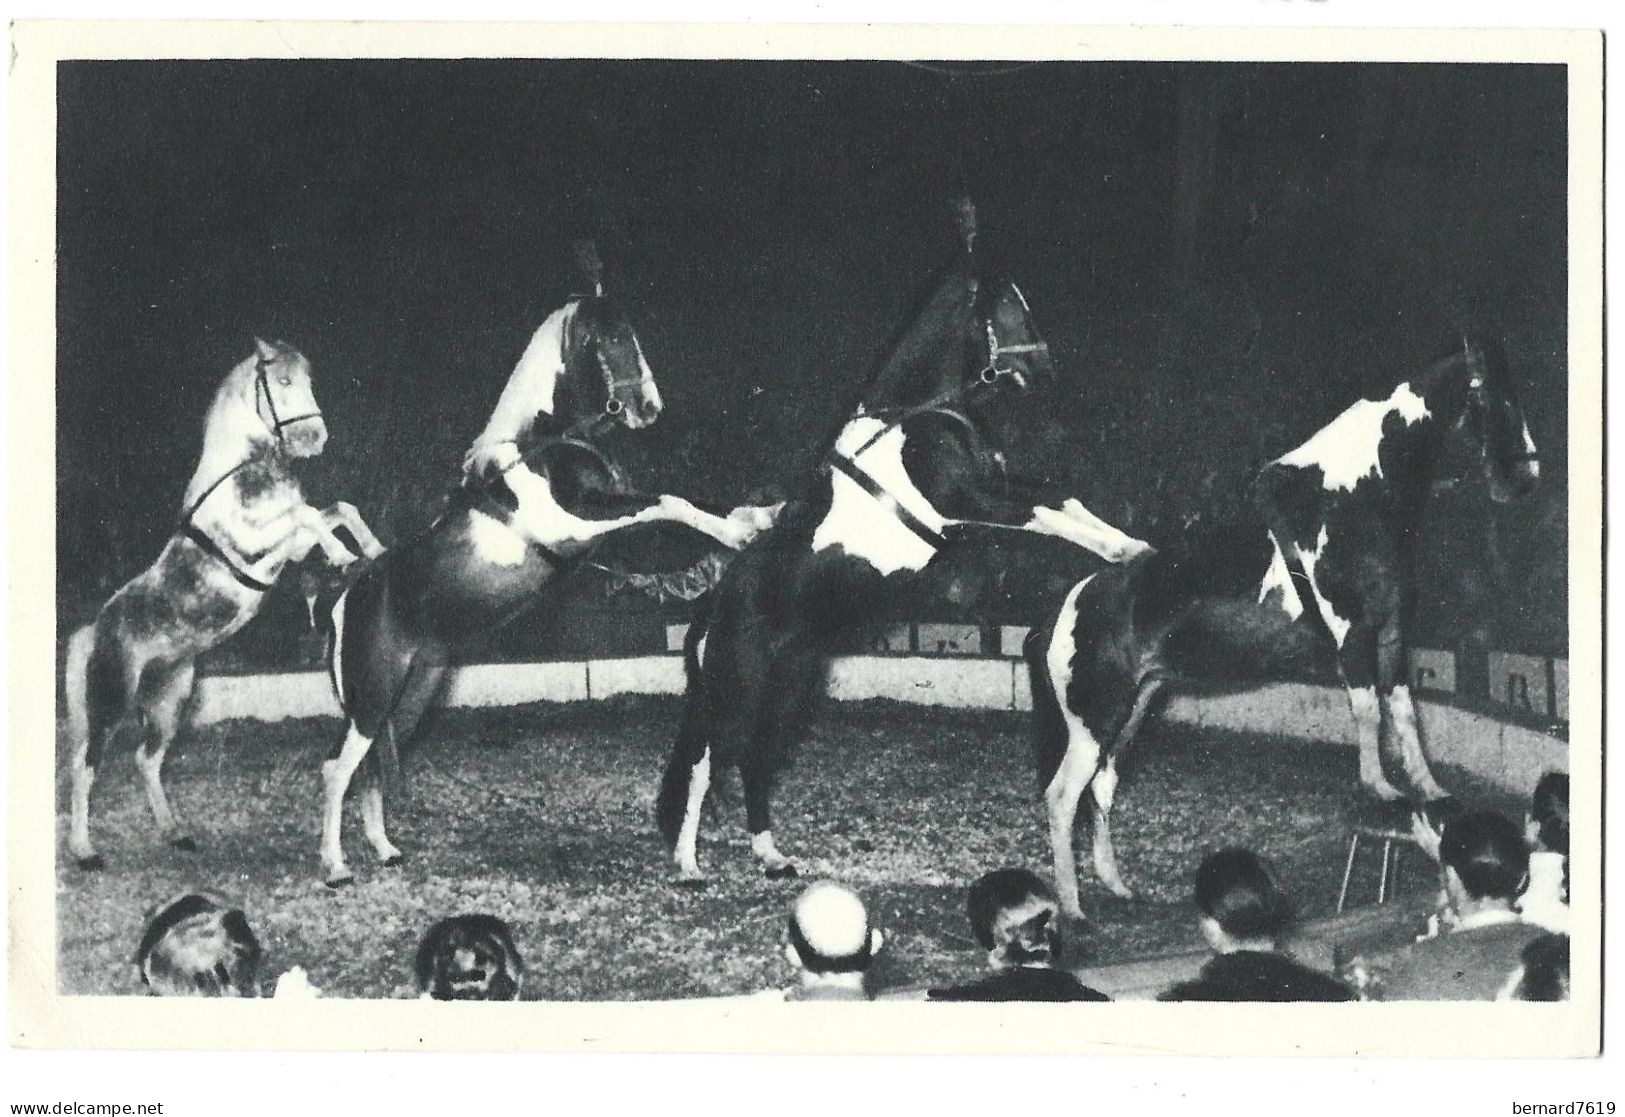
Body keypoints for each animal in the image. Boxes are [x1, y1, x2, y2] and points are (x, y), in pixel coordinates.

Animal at [65, 341, 385, 871]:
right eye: (283, 383)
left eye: (309, 380)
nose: (315, 438)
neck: (242, 473)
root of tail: (96, 629)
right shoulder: (256, 544)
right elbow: (307, 516)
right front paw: (343, 555)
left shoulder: (290, 547)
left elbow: (335, 511)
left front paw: (370, 548)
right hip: (109, 703)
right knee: (84, 765)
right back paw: (84, 850)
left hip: (171, 701)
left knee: (146, 760)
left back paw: (175, 832)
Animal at [323, 266, 773, 884]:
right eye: (613, 338)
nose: (650, 407)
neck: (541, 447)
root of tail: (351, 589)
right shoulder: (576, 526)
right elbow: (669, 503)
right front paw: (739, 533)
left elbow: (679, 515)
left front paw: (755, 519)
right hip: (372, 697)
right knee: (336, 771)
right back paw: (334, 866)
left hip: (408, 698)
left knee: (367, 769)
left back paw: (386, 850)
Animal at [653, 199, 1150, 884]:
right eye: (1007, 304)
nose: (1045, 368)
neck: (914, 415)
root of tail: (711, 611)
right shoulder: (969, 501)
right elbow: (1047, 513)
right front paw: (1122, 553)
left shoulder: (988, 489)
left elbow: (1063, 501)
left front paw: (1133, 546)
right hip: (737, 688)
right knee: (707, 760)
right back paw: (688, 864)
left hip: (787, 692)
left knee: (755, 759)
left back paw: (771, 855)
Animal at [1033, 338, 1540, 917]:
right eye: (1499, 396)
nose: (1526, 477)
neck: (1350, 499)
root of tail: (1070, 605)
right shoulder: (1351, 635)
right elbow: (1368, 711)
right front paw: (1381, 788)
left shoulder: (1392, 634)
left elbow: (1405, 713)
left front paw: (1429, 789)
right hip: (1094, 721)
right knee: (1063, 797)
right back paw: (1074, 910)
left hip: (1131, 713)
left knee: (1101, 789)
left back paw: (1116, 886)